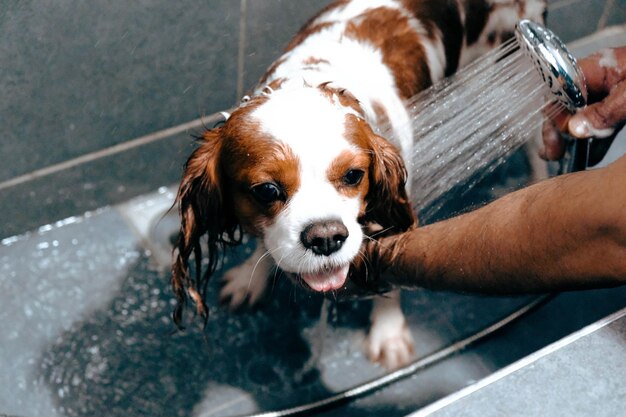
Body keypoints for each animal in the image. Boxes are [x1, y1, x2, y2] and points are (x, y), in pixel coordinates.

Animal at [172, 0, 544, 368]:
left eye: (353, 175)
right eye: (267, 190)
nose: (325, 238)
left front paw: (389, 333)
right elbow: (265, 243)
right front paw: (251, 274)